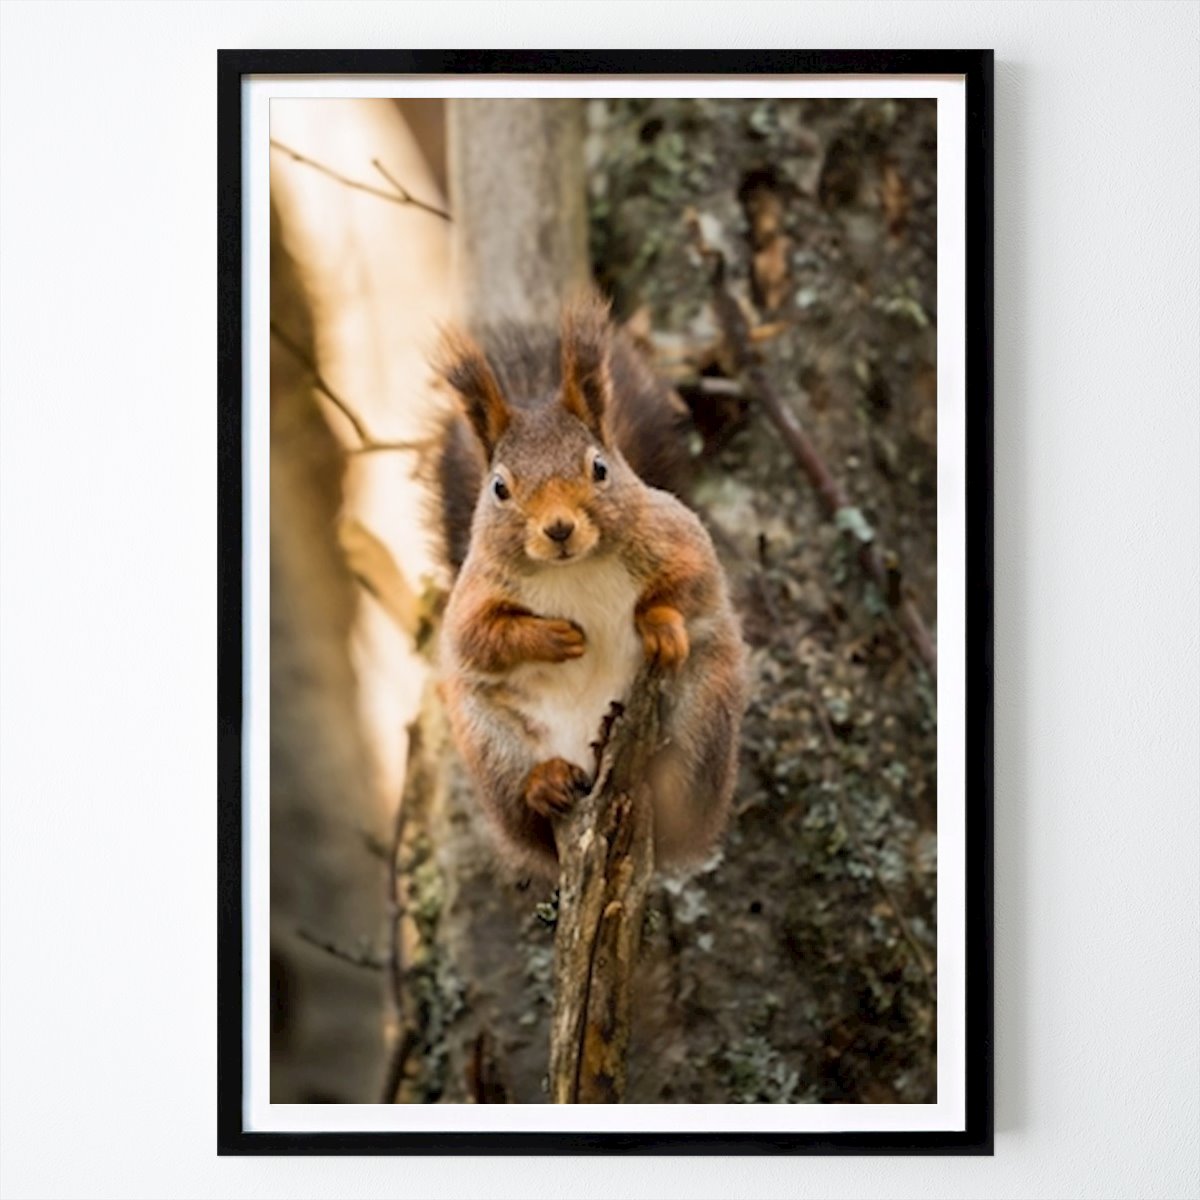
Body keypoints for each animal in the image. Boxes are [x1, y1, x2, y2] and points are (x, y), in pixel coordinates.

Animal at [434, 293, 747, 880]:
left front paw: (660, 626)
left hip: (704, 709)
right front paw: (552, 637)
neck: (571, 569)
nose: (558, 528)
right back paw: (547, 783)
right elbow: (475, 638)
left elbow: (690, 582)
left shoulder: (679, 537)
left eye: (599, 468)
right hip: (490, 744)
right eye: (499, 488)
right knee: (524, 803)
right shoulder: (473, 594)